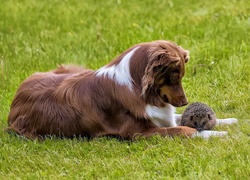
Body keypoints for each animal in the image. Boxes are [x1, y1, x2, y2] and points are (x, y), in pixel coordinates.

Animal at [7, 40, 197, 140]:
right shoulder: (137, 132)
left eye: (181, 77)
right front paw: (197, 132)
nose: (185, 102)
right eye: (174, 78)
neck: (136, 85)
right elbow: (179, 130)